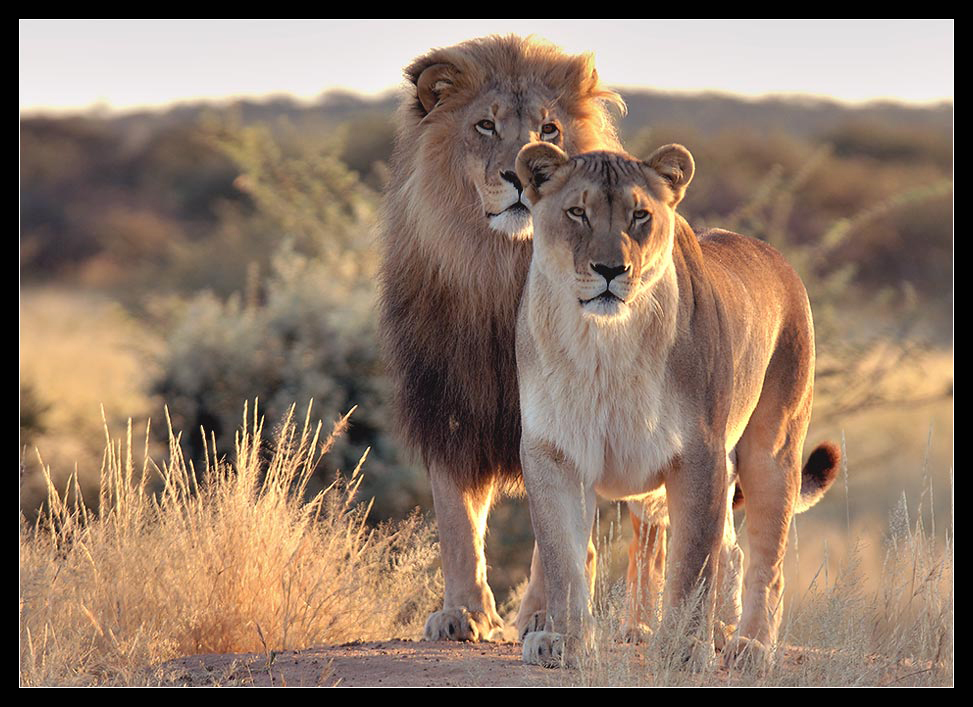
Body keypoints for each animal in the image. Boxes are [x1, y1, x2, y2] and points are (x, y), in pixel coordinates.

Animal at [372, 34, 632, 640]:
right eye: (486, 126)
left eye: (550, 129)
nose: (521, 176)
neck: (496, 270)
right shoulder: (448, 404)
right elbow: (455, 519)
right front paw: (461, 612)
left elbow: (556, 536)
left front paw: (543, 615)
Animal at [512, 144, 840, 668]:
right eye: (577, 212)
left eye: (640, 215)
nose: (611, 270)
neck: (603, 342)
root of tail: (777, 256)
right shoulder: (553, 451)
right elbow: (563, 557)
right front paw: (562, 640)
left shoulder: (698, 453)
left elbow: (692, 564)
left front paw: (685, 649)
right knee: (723, 549)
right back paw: (704, 631)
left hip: (772, 451)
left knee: (764, 562)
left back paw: (749, 645)